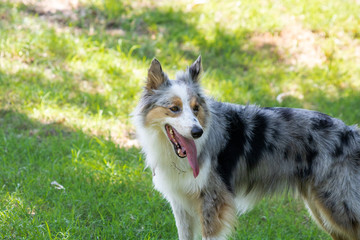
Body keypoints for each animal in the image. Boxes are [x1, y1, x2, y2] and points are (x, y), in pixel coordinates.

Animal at [133, 56, 360, 240]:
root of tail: (352, 132)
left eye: (196, 108)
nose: (197, 132)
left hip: (339, 206)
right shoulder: (180, 204)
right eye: (174, 108)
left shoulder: (213, 201)